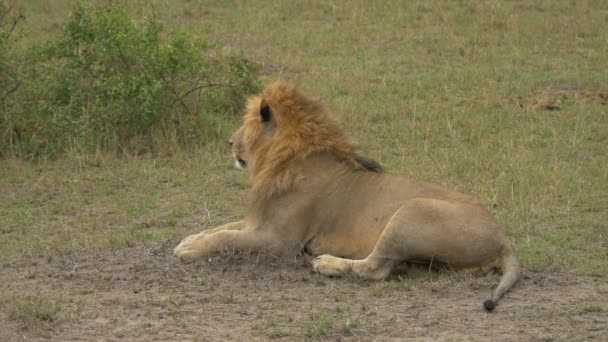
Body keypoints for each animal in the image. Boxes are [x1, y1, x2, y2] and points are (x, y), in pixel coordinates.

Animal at [173, 81, 520, 312]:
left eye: (245, 125)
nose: (229, 142)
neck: (282, 159)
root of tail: (504, 240)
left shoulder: (279, 241)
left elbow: (227, 237)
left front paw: (189, 250)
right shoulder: (261, 220)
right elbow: (222, 227)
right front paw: (190, 238)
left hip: (412, 209)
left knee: (374, 269)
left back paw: (326, 262)